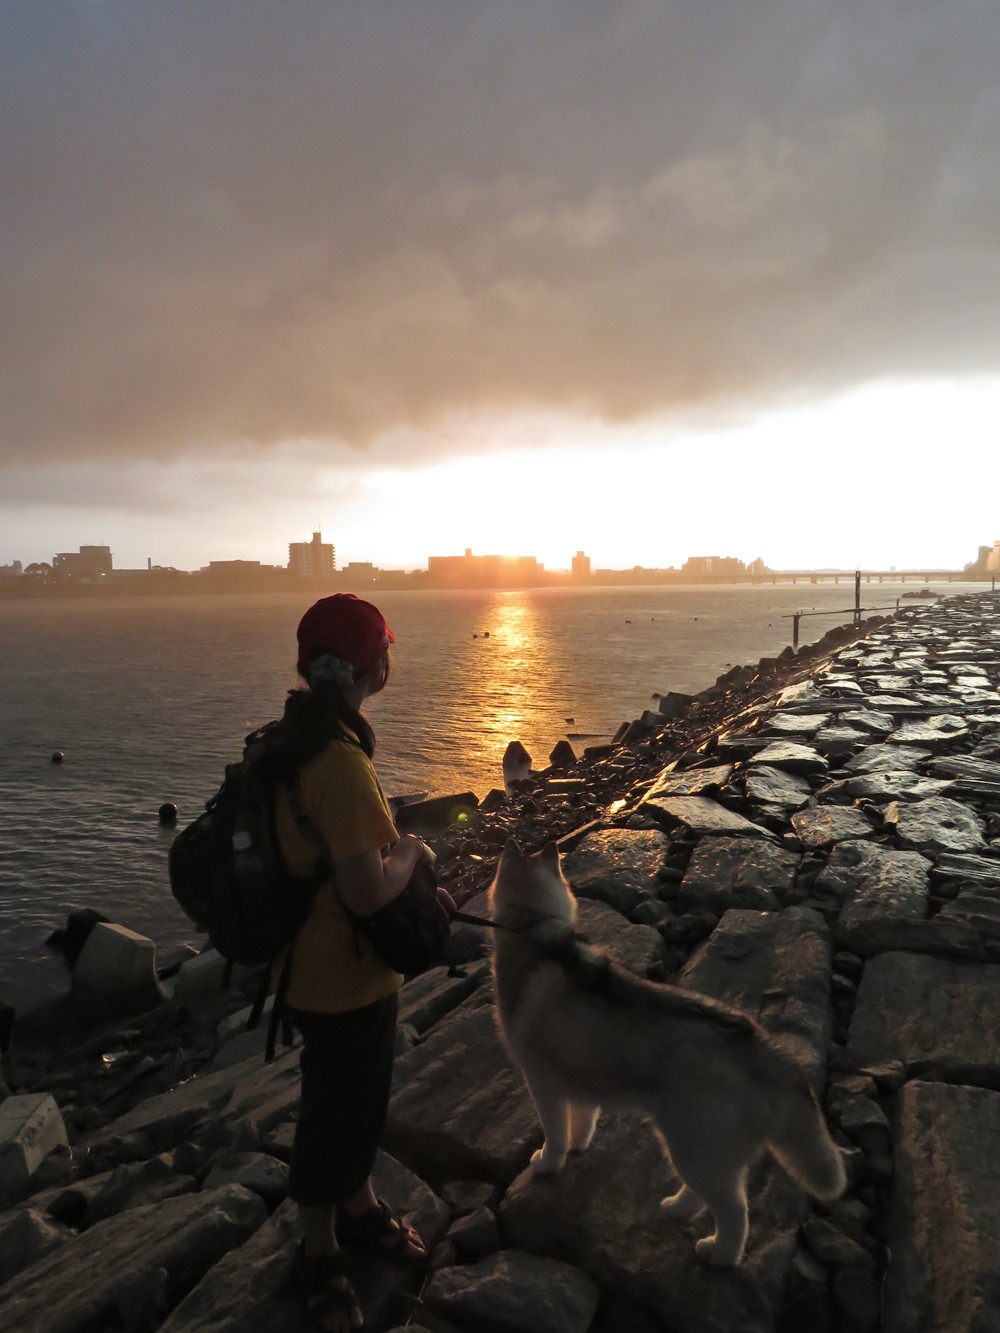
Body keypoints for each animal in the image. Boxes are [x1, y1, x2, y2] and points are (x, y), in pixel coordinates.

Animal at [488, 837, 848, 1263]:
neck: (534, 926)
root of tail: (759, 1042)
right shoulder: (581, 1074)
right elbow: (582, 1120)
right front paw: (578, 1146)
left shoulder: (541, 1080)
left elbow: (554, 1134)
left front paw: (547, 1163)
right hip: (704, 1150)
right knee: (712, 1194)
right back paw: (677, 1207)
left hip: (693, 1146)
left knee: (734, 1209)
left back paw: (720, 1255)